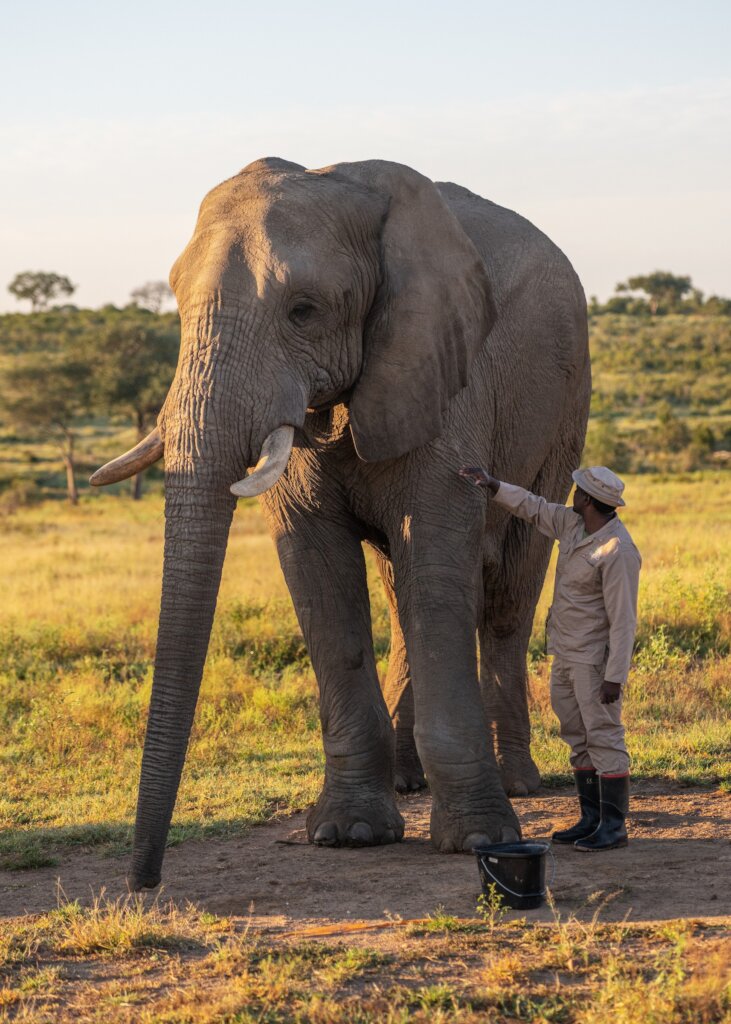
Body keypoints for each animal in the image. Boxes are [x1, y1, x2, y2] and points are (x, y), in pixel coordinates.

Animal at [92, 157, 591, 890]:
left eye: (304, 311)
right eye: (179, 307)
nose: (143, 882)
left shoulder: (444, 369)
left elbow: (437, 554)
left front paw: (479, 837)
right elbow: (318, 572)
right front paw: (348, 833)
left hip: (565, 405)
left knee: (505, 591)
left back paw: (517, 782)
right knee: (401, 589)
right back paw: (410, 783)